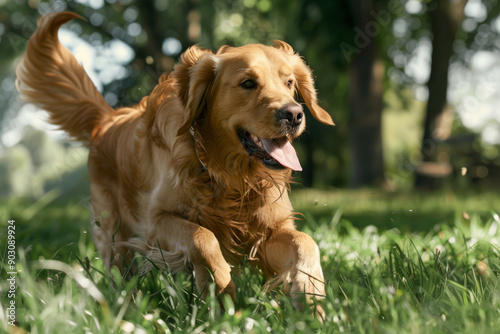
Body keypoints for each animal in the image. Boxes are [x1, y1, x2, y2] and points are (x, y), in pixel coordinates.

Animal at [17, 11, 334, 318]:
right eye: (248, 83)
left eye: (289, 83)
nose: (293, 114)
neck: (228, 175)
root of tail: (106, 120)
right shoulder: (156, 222)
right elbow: (203, 237)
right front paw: (221, 291)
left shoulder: (270, 229)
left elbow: (306, 241)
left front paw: (310, 294)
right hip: (114, 234)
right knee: (118, 275)